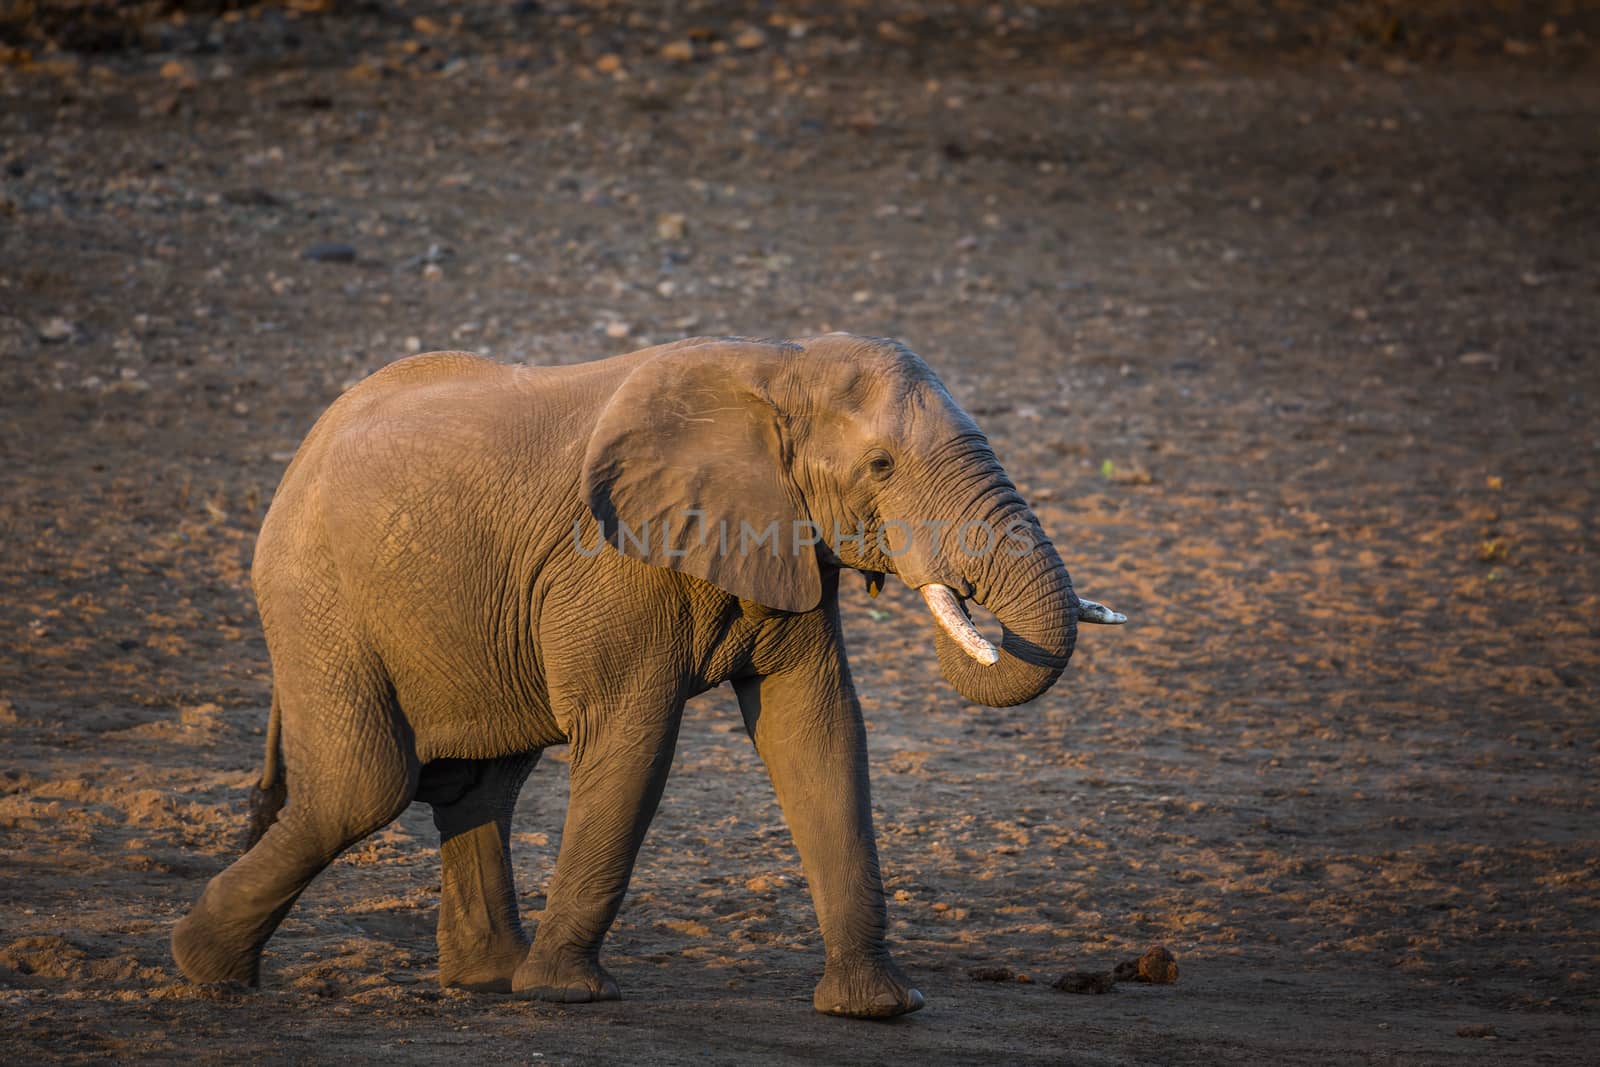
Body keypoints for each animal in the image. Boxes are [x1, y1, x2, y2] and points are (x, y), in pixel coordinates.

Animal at [168, 331, 1126, 1017]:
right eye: (882, 468)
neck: (780, 366)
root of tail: (307, 445)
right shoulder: (610, 562)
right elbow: (633, 735)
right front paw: (569, 994)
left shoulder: (784, 540)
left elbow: (816, 731)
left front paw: (880, 1008)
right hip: (313, 593)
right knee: (364, 787)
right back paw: (204, 970)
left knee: (478, 785)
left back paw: (489, 980)